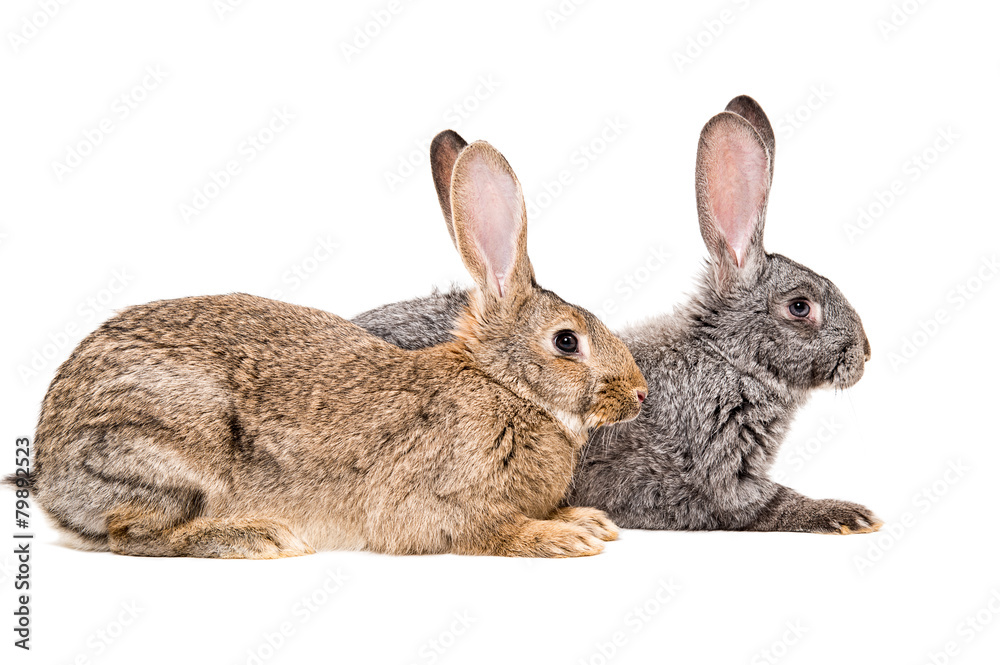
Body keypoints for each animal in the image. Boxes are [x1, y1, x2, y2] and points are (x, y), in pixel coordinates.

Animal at [16, 139, 648, 559]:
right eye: (566, 341)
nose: (640, 394)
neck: (506, 387)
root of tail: (50, 476)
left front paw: (588, 520)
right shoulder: (439, 501)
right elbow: (485, 530)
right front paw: (564, 535)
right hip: (164, 445)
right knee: (134, 534)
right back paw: (258, 536)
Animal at [353, 98, 881, 534]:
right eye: (800, 307)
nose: (865, 355)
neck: (729, 361)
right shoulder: (709, 480)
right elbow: (767, 505)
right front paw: (844, 514)